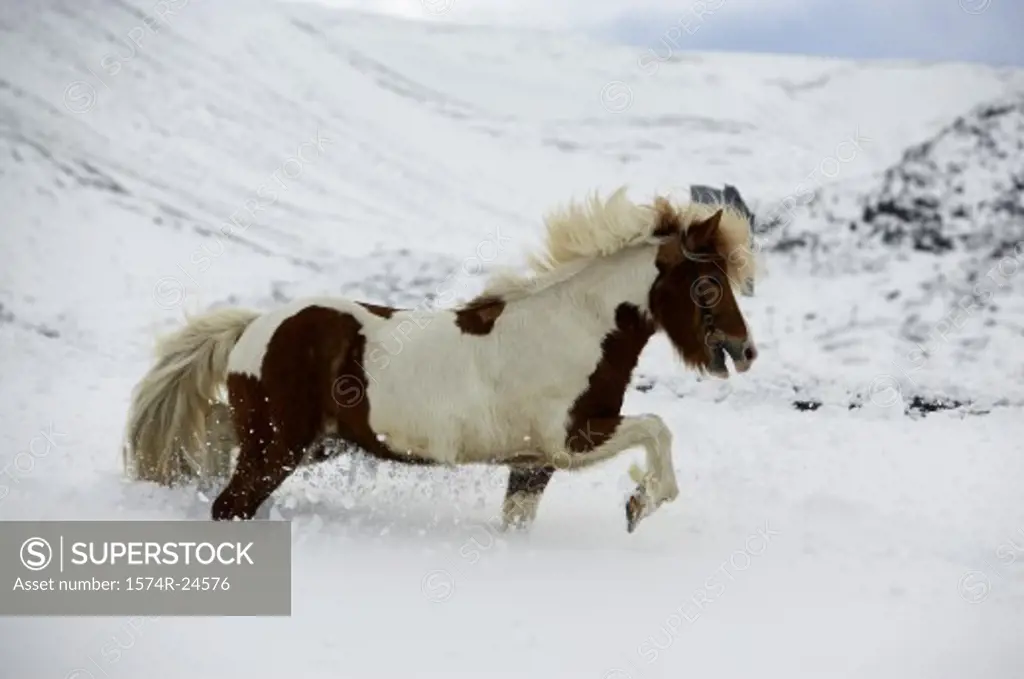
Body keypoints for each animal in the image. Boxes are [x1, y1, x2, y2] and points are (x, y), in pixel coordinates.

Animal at [121, 188, 761, 532]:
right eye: (707, 284)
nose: (744, 350)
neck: (575, 327)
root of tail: (254, 327)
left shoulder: (533, 465)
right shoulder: (572, 440)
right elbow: (658, 428)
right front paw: (638, 503)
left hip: (298, 443)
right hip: (279, 447)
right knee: (230, 504)